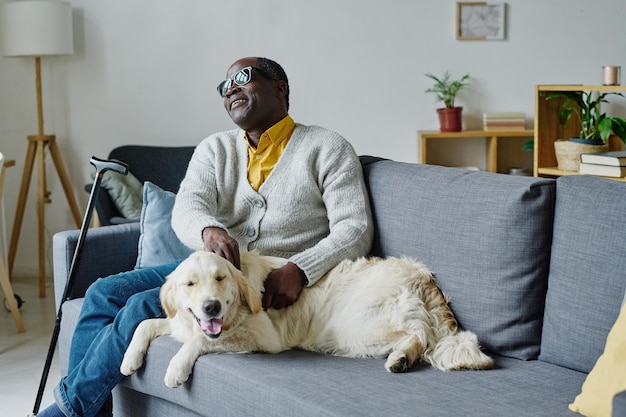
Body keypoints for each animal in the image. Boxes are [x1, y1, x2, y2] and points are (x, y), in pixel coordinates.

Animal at [120, 250, 492, 386]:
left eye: (220, 278)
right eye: (190, 284)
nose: (211, 307)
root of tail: (421, 273)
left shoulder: (263, 337)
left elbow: (199, 340)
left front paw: (176, 369)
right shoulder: (179, 322)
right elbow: (146, 323)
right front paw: (129, 359)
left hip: (356, 326)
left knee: (424, 334)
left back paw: (402, 357)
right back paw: (401, 357)